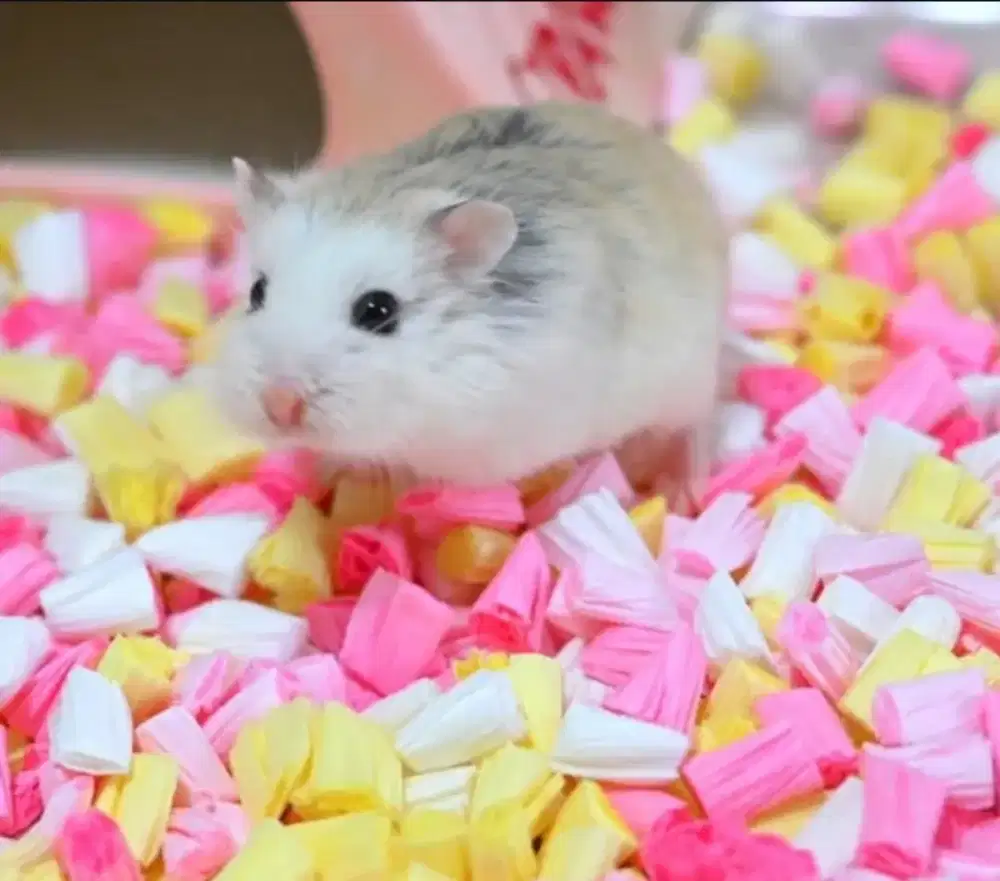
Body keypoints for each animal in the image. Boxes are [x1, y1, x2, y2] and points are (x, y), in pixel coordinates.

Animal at [210, 101, 729, 495]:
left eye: (378, 311)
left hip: (690, 374)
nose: (278, 406)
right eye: (257, 291)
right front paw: (325, 476)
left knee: (698, 423)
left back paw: (686, 489)